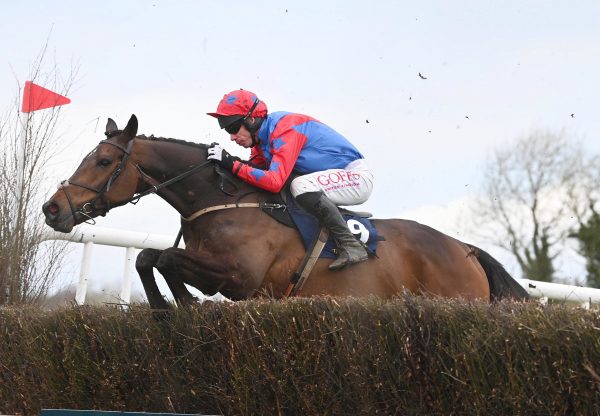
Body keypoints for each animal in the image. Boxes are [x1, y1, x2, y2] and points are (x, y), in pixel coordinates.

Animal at [43, 114, 528, 308]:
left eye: (104, 161)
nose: (51, 208)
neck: (223, 201)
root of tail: (465, 249)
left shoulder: (241, 278)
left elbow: (163, 257)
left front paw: (181, 303)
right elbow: (149, 256)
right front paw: (172, 304)